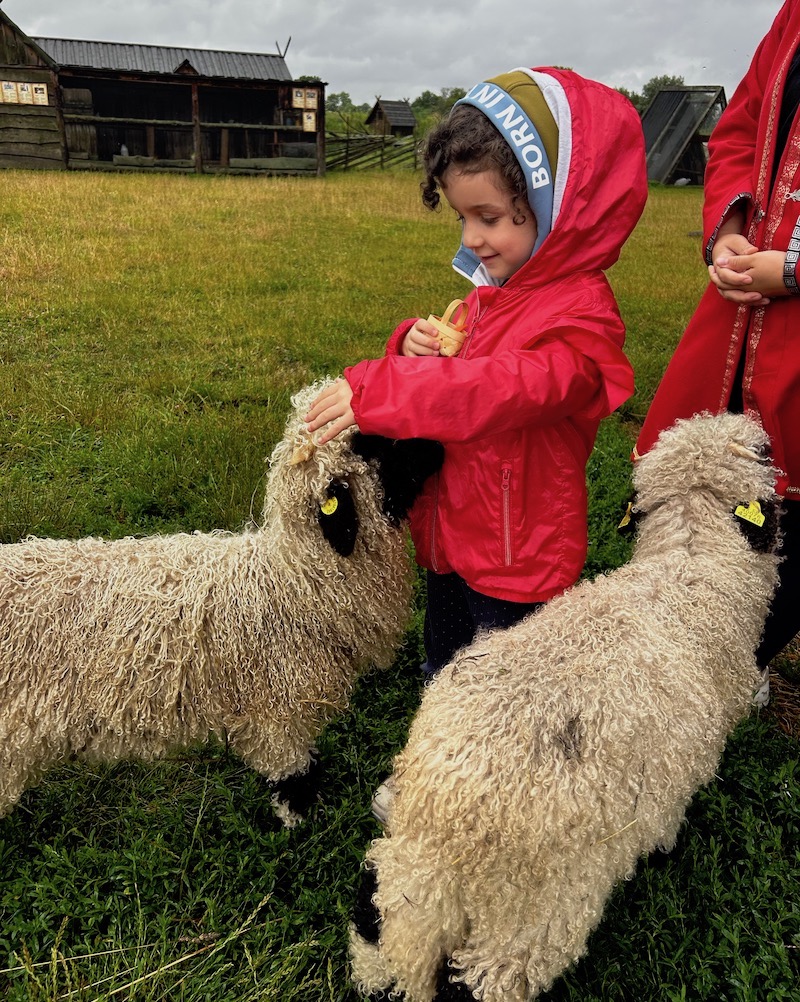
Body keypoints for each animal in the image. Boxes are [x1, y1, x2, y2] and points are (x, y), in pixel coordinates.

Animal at [0, 380, 443, 824]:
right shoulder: (277, 710)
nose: (440, 444)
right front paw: (298, 818)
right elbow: (294, 772)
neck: (295, 582)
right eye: (371, 442)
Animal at [349, 411, 781, 1002]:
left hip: (403, 875)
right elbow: (669, 821)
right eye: (765, 454)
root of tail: (447, 817)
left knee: (371, 916)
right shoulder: (680, 771)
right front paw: (665, 847)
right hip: (532, 914)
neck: (690, 562)